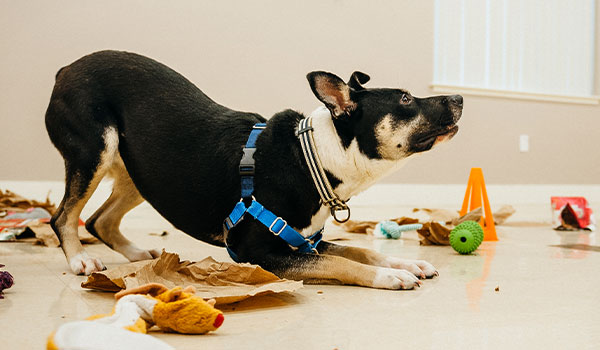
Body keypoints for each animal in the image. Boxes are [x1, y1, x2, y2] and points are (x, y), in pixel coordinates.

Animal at [44, 50, 462, 290]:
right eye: (405, 100)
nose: (459, 97)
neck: (313, 158)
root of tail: (65, 69)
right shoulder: (258, 250)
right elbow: (341, 263)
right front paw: (390, 276)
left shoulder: (304, 241)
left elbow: (358, 251)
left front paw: (404, 262)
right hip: (95, 150)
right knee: (64, 215)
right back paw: (80, 259)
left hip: (142, 171)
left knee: (99, 219)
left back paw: (136, 255)